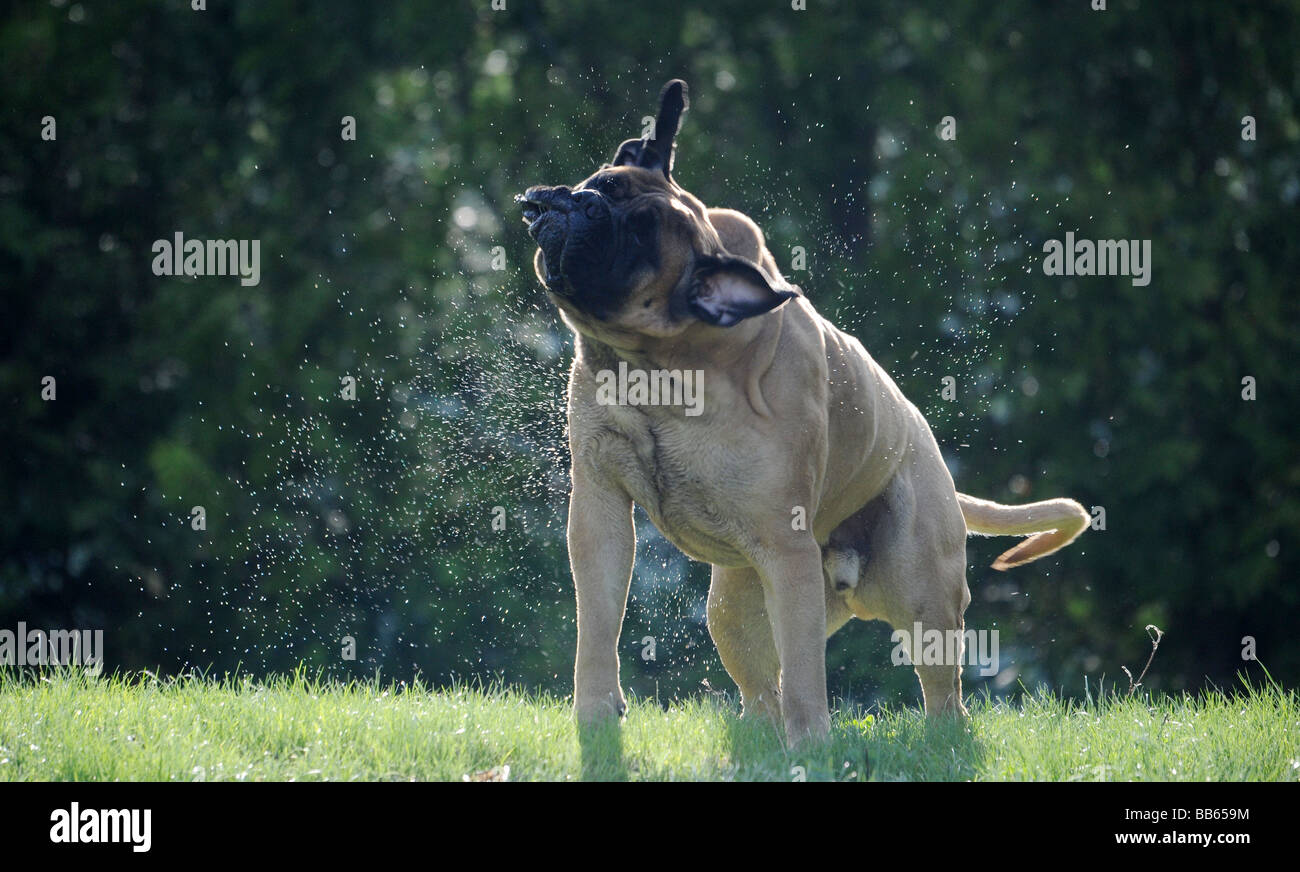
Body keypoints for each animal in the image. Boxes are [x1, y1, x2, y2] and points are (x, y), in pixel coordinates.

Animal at [517, 81, 1086, 748]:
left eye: (640, 239)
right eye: (606, 185)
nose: (581, 205)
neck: (658, 368)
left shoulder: (784, 553)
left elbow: (808, 679)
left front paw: (811, 747)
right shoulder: (600, 512)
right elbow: (599, 626)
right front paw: (596, 715)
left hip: (922, 595)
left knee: (936, 693)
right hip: (735, 605)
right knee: (764, 688)